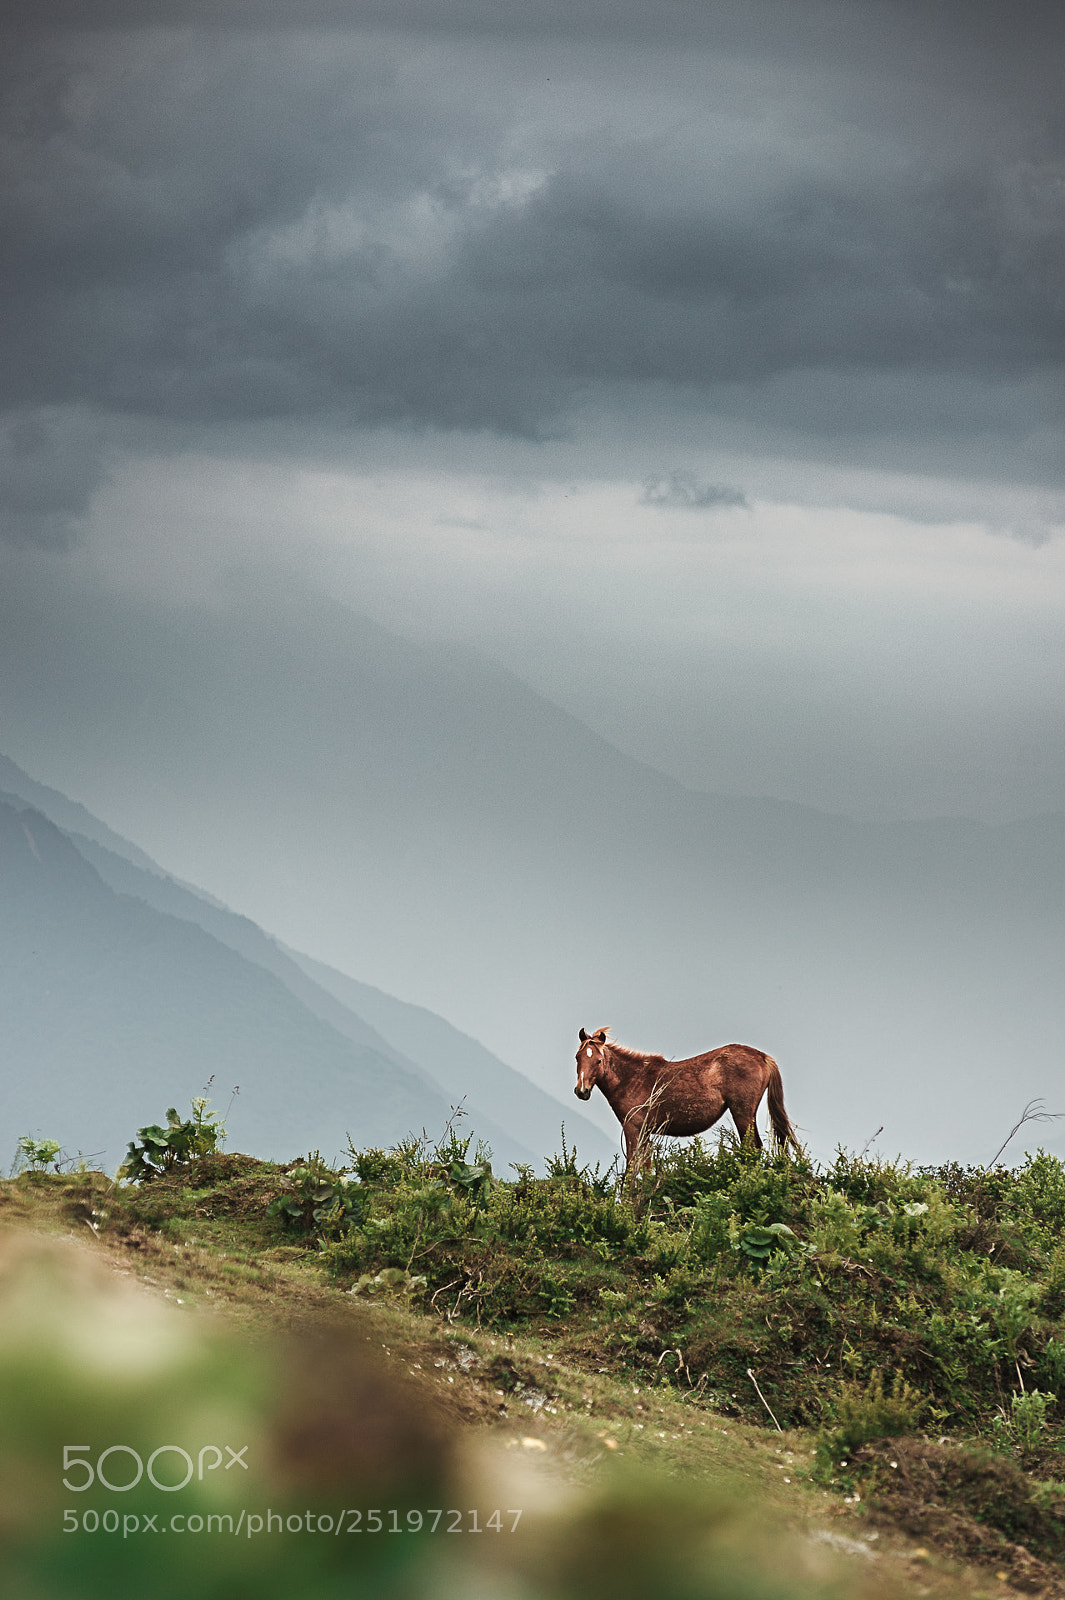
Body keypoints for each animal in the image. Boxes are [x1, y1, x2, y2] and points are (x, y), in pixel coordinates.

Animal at [574, 1026, 799, 1173]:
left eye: (598, 1060)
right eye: (578, 1057)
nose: (581, 1091)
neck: (631, 1078)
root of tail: (763, 1057)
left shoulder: (633, 1128)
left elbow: (632, 1169)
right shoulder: (645, 1132)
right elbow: (646, 1168)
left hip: (742, 1112)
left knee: (752, 1148)